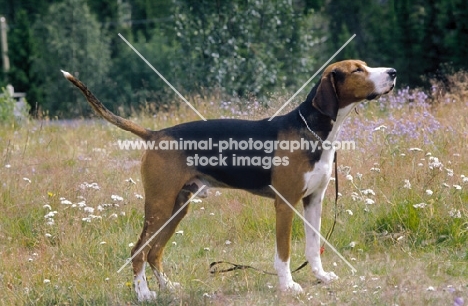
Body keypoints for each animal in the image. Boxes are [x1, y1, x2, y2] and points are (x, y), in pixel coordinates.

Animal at [62, 60, 394, 302]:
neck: (314, 131)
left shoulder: (314, 201)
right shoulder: (285, 204)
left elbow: (313, 247)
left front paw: (321, 277)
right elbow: (284, 253)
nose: (392, 72)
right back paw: (143, 294)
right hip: (159, 205)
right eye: (358, 70)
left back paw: (167, 287)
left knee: (154, 252)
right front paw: (288, 286)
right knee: (139, 251)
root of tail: (156, 134)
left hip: (177, 207)